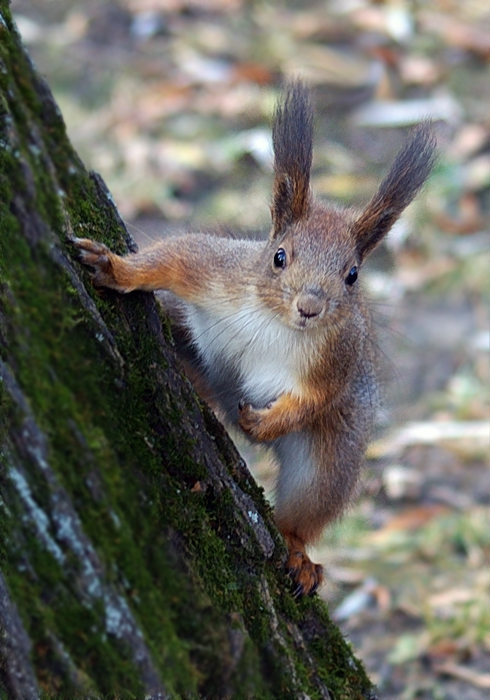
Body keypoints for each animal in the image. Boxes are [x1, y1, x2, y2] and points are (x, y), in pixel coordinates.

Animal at [75, 80, 436, 596]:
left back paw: (298, 552)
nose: (310, 307)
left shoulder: (338, 358)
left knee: (306, 508)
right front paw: (115, 268)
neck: (277, 322)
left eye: (352, 275)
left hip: (331, 461)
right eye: (279, 256)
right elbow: (173, 257)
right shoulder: (215, 270)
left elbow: (315, 399)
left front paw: (261, 425)